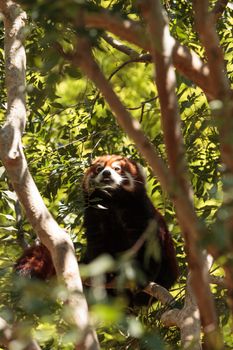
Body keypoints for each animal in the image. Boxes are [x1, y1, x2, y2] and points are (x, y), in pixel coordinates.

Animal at [14, 154, 178, 302]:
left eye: (117, 168)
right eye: (99, 168)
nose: (106, 173)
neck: (112, 201)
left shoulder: (140, 213)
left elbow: (147, 247)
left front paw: (142, 275)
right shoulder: (94, 215)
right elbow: (98, 245)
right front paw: (104, 273)